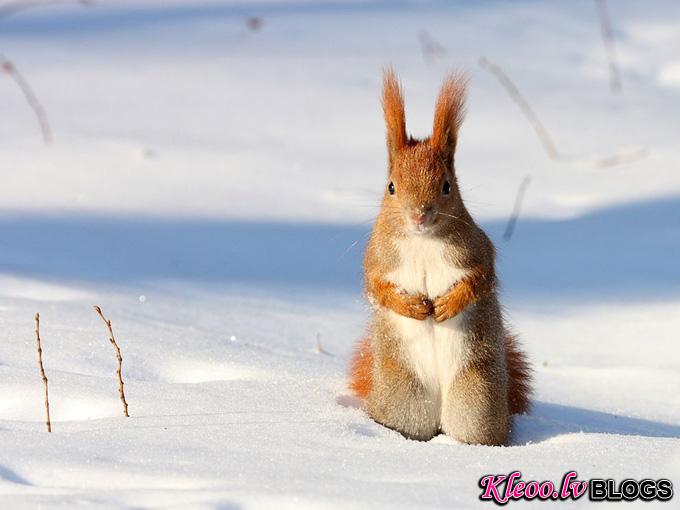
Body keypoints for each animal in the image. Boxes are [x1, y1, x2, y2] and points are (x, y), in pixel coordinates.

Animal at [350, 69, 532, 444]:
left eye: (447, 186)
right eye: (391, 186)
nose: (419, 215)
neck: (422, 241)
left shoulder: (477, 250)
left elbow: (481, 279)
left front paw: (448, 305)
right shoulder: (376, 259)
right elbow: (377, 288)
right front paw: (413, 307)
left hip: (476, 397)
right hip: (404, 396)